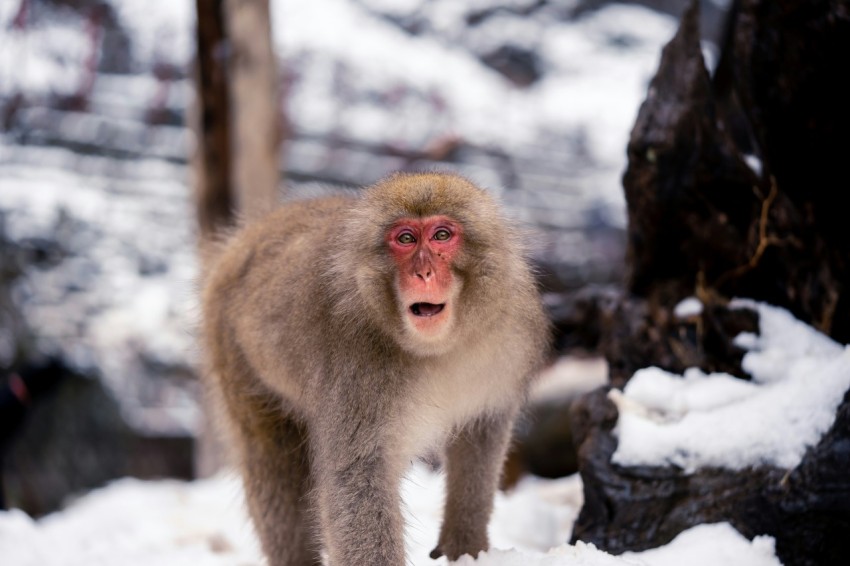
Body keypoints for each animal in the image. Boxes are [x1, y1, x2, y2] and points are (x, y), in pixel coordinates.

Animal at [199, 171, 551, 565]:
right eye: (406, 239)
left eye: (442, 235)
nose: (424, 271)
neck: (437, 350)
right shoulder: (358, 363)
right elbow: (358, 475)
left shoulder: (510, 340)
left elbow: (482, 437)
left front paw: (465, 547)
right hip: (232, 350)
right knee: (270, 459)